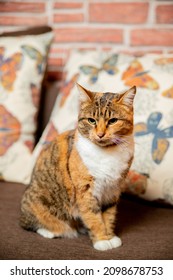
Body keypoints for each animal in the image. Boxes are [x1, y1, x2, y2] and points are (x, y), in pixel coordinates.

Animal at [19, 83, 137, 252]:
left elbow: (108, 215)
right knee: (31, 223)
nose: (100, 134)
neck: (106, 153)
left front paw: (109, 236)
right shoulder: (85, 190)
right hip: (38, 204)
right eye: (91, 120)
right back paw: (52, 231)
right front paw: (102, 240)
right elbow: (93, 217)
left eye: (113, 120)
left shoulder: (112, 190)